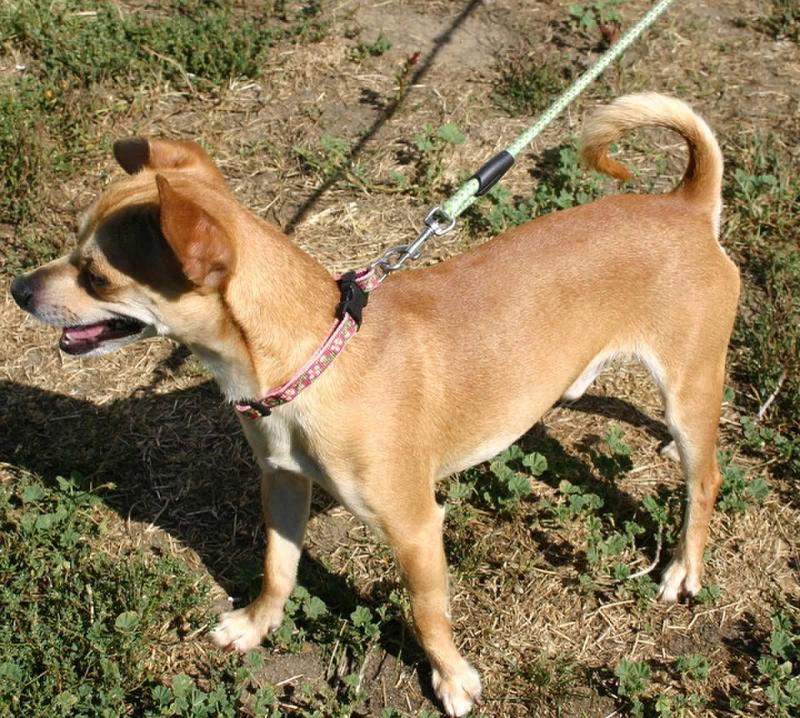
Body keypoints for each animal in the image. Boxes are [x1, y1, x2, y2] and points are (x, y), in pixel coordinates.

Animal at [10, 93, 738, 717]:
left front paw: (452, 678)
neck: (314, 362)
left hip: (689, 389)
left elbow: (427, 612)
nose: (17, 288)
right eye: (72, 244)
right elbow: (278, 569)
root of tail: (686, 205)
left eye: (96, 275)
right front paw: (255, 625)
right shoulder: (281, 484)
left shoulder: (415, 527)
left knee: (704, 478)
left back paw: (683, 568)